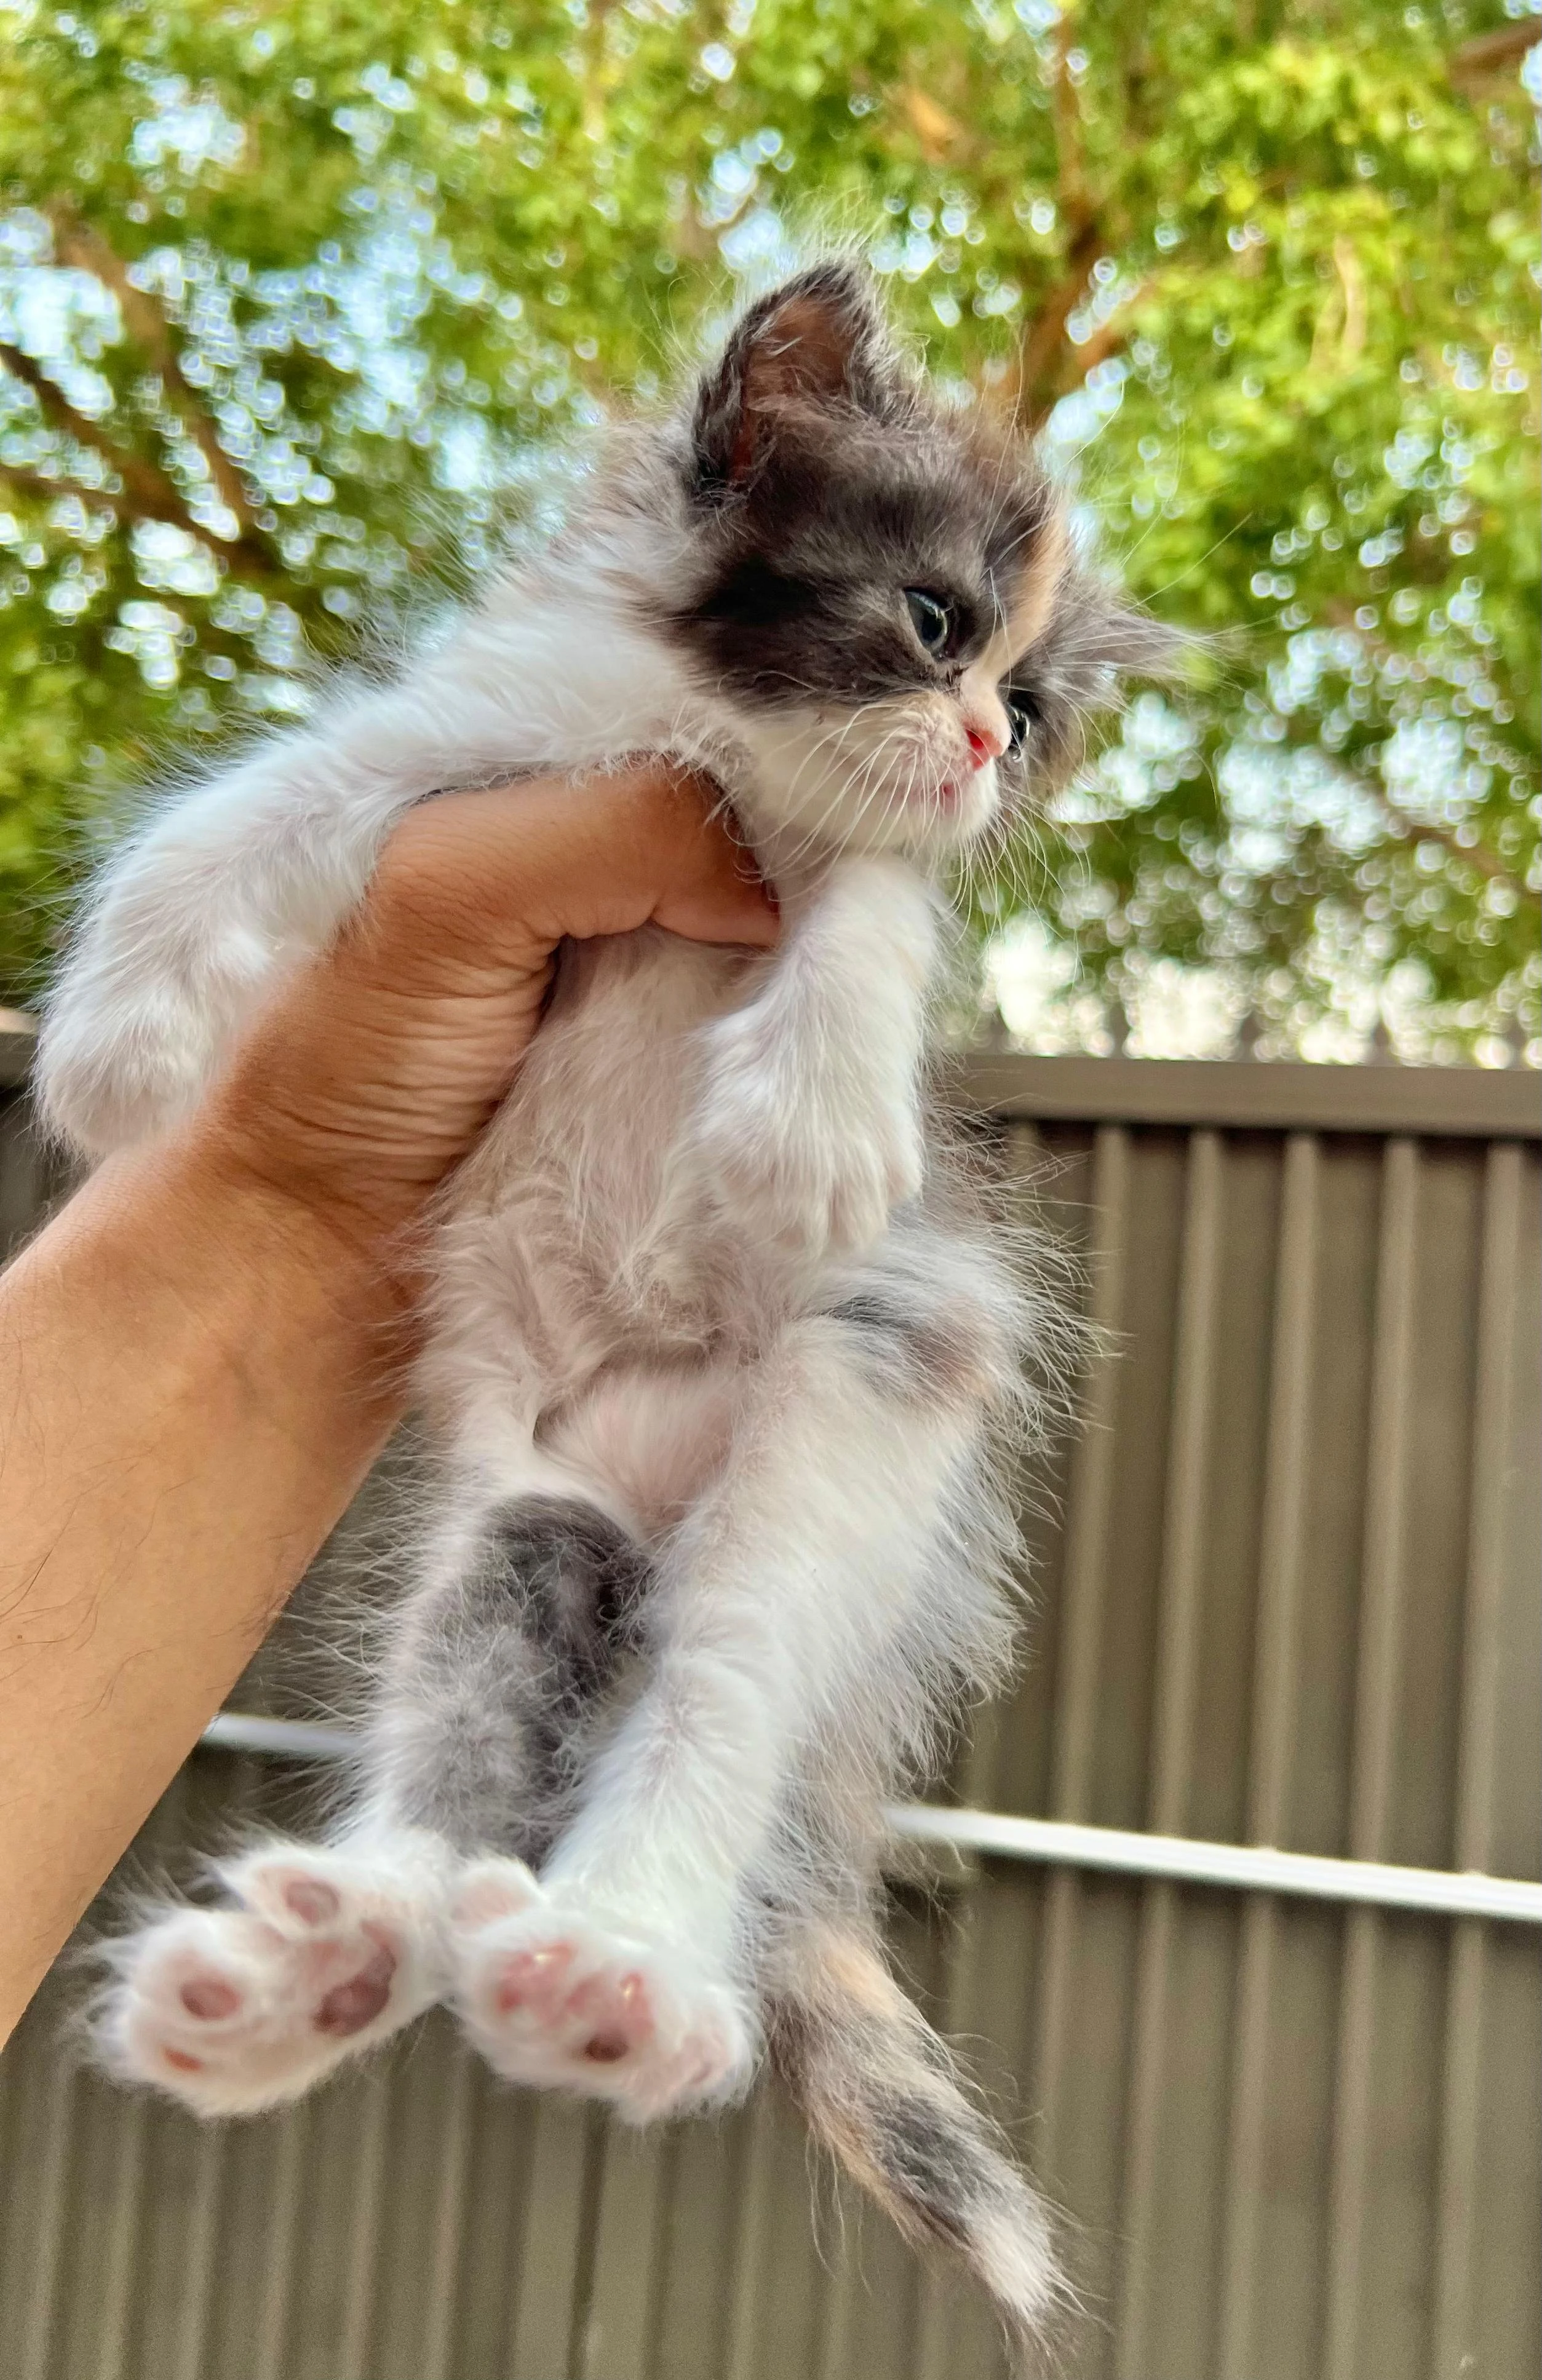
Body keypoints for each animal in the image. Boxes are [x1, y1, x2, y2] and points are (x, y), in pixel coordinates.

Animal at [42, 265, 1175, 2361]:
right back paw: (328, 1956)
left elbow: (877, 895)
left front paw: (809, 1112)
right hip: (528, 1511)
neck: (710, 750)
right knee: (472, 1737)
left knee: (712, 1704)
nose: (986, 743)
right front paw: (121, 1040)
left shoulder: (845, 936)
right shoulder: (487, 750)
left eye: (1036, 709)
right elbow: (265, 801)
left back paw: (619, 1964)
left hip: (847, 1419)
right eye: (935, 624)